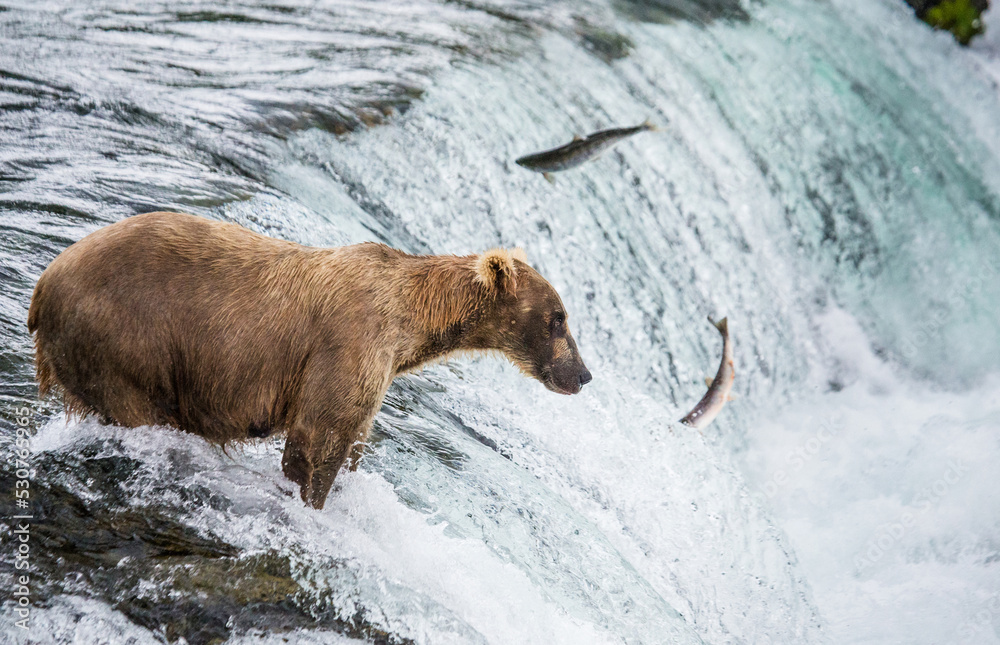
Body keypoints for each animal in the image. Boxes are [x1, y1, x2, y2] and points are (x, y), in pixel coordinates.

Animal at [27, 211, 588, 508]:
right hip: (125, 340)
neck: (409, 326)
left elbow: (353, 439)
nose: (582, 374)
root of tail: (42, 285)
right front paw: (312, 501)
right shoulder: (349, 343)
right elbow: (319, 439)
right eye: (558, 318)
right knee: (139, 409)